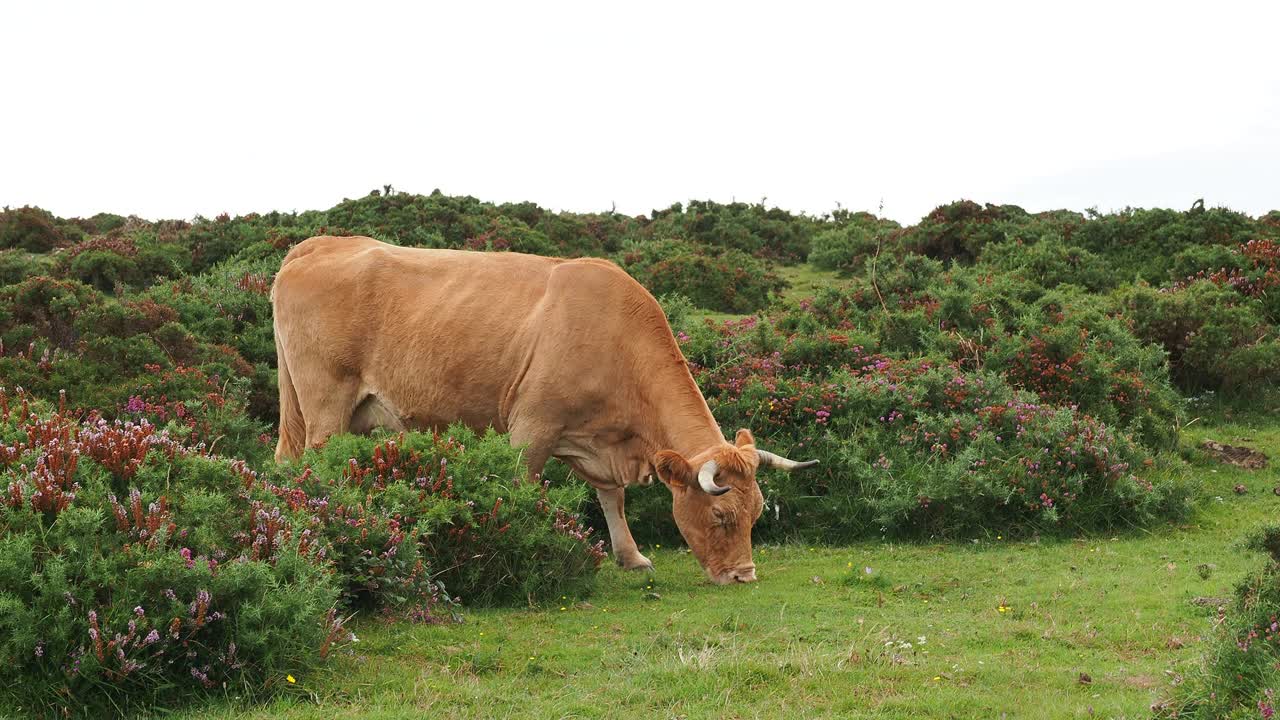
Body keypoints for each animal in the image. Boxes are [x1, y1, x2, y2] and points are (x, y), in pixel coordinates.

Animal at [270, 235, 819, 584]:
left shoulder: (597, 440)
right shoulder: (532, 426)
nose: (744, 576)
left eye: (757, 513)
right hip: (326, 405)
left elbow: (612, 499)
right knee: (313, 462)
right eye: (722, 516)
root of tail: (320, 243)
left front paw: (631, 556)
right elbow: (520, 489)